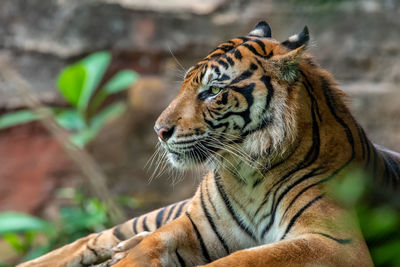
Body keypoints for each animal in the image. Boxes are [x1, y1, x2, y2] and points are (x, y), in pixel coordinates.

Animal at [19, 21, 400, 267]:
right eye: (186, 84)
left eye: (213, 90)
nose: (159, 130)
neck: (249, 174)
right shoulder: (193, 224)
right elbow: (152, 243)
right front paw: (129, 256)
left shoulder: (336, 241)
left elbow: (244, 259)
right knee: (92, 239)